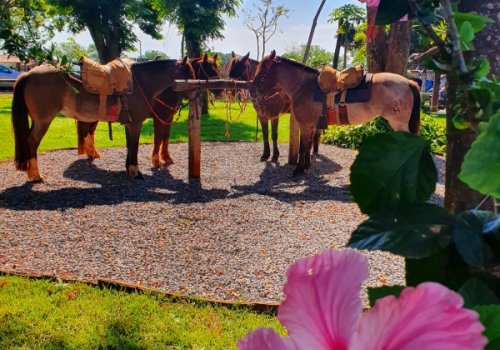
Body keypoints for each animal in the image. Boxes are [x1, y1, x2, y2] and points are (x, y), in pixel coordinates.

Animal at [11, 57, 195, 182]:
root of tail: (29, 73)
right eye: (188, 73)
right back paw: (35, 175)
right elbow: (134, 146)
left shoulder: (129, 124)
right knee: (32, 141)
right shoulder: (135, 124)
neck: (140, 84)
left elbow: (130, 146)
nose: (194, 94)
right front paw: (135, 172)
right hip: (44, 120)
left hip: (37, 120)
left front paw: (129, 169)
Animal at [250, 50, 422, 175]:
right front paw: (306, 167)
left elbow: (303, 146)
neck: (304, 86)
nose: (252, 91)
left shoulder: (305, 125)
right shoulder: (312, 125)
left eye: (263, 70)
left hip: (399, 124)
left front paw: (298, 170)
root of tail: (409, 82)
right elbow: (308, 146)